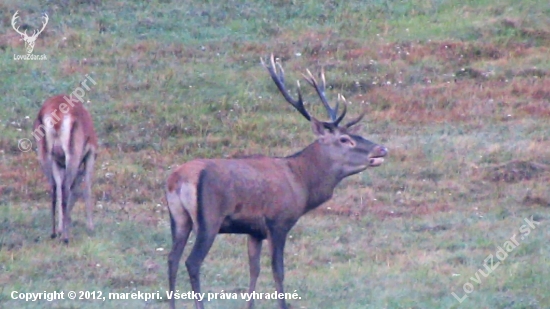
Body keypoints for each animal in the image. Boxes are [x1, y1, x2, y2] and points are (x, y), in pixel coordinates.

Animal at [33, 94, 98, 243]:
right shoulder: (90, 155)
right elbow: (86, 188)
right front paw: (91, 227)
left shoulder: (58, 163)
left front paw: (61, 227)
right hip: (72, 155)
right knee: (65, 187)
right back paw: (65, 238)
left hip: (45, 156)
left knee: (54, 188)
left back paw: (54, 233)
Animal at [167, 55, 388, 308]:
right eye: (344, 139)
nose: (382, 149)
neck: (302, 184)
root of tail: (177, 179)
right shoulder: (278, 221)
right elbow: (278, 271)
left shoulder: (254, 230)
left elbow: (254, 270)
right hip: (209, 218)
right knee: (192, 262)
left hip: (179, 218)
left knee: (172, 259)